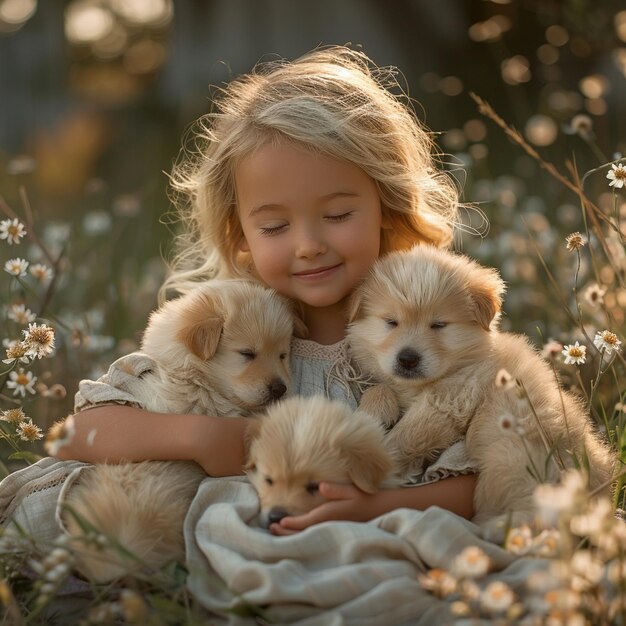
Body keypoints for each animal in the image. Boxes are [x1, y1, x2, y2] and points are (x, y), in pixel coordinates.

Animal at [346, 244, 616, 532]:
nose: (408, 359)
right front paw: (375, 410)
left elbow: (404, 436)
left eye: (438, 325)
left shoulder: (450, 401)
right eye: (391, 322)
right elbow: (380, 388)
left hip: (509, 455)